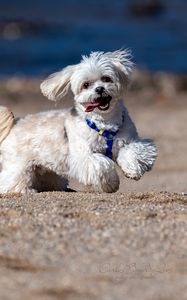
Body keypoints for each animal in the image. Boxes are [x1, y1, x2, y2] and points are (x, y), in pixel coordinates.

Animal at [0, 49, 156, 193]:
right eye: (86, 85)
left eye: (106, 78)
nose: (99, 89)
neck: (104, 123)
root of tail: (14, 124)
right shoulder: (85, 157)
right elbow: (102, 166)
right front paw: (111, 183)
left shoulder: (130, 140)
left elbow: (132, 152)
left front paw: (132, 170)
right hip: (19, 166)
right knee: (11, 181)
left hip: (47, 170)